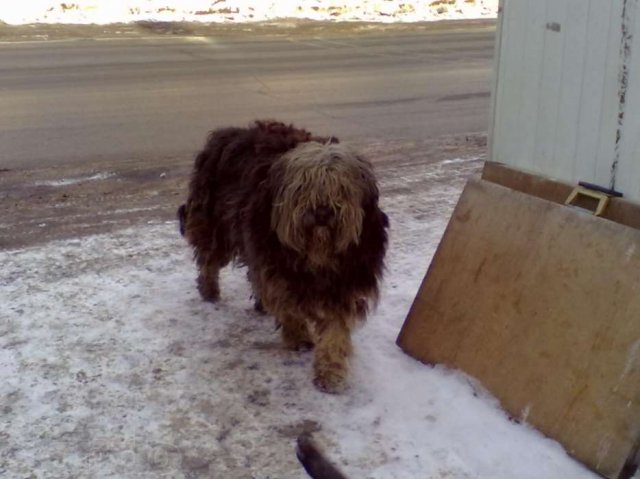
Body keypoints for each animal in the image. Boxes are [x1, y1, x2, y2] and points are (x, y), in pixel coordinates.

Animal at [178, 121, 388, 394]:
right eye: (304, 185)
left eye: (341, 188)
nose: (322, 212)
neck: (318, 256)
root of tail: (227, 132)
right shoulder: (275, 266)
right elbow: (287, 306)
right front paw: (298, 337)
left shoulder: (346, 283)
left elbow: (335, 330)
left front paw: (330, 372)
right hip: (215, 222)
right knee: (210, 260)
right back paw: (209, 290)